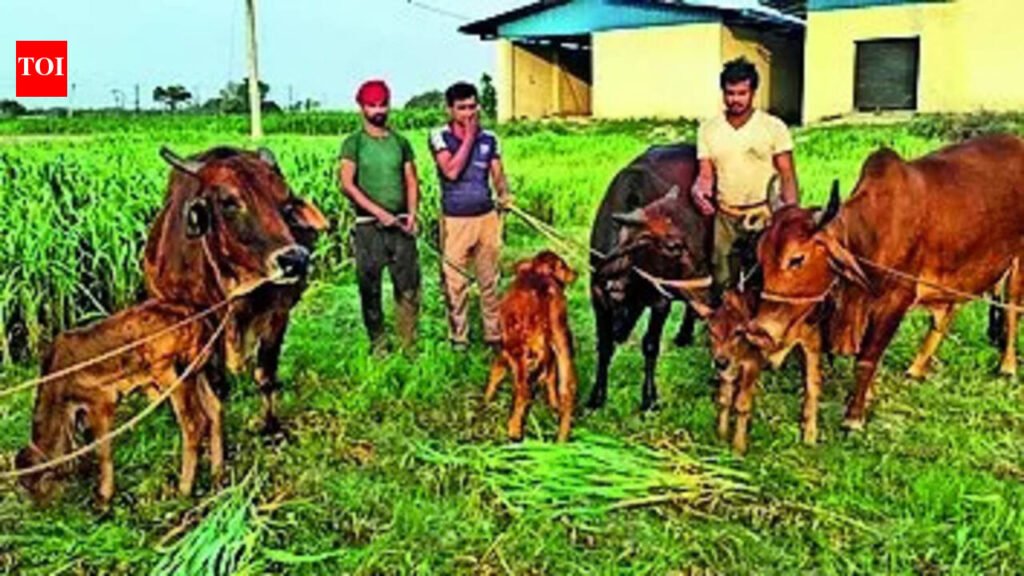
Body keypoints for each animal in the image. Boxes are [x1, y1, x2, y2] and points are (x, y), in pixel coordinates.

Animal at [15, 301, 222, 505]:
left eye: (34, 488)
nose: (41, 508)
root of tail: (199, 320)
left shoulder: (101, 401)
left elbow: (102, 450)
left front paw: (104, 497)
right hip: (198, 371)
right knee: (215, 409)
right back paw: (217, 475)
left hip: (170, 371)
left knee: (194, 423)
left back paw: (183, 490)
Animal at [143, 146, 329, 437]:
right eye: (228, 202)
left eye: (286, 203)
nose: (295, 260)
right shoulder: (205, 329)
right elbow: (218, 388)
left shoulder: (278, 314)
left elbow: (265, 375)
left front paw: (272, 429)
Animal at [485, 251, 578, 442]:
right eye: (563, 265)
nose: (576, 273)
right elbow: (550, 375)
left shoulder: (507, 348)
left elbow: (496, 372)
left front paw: (486, 401)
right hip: (561, 340)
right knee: (567, 388)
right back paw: (561, 440)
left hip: (518, 349)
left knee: (524, 391)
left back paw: (514, 430)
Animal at [589, 144, 714, 411]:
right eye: (673, 245)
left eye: (695, 232)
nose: (705, 281)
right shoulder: (598, 296)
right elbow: (604, 345)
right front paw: (597, 395)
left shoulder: (660, 301)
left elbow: (650, 345)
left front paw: (649, 398)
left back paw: (685, 334)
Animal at [748, 135, 1024, 430]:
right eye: (760, 254)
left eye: (797, 259)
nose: (759, 331)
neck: (868, 235)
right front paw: (868, 396)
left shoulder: (895, 302)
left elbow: (867, 358)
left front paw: (854, 417)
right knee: (947, 314)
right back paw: (917, 369)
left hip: (1018, 263)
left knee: (1011, 310)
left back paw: (1007, 367)